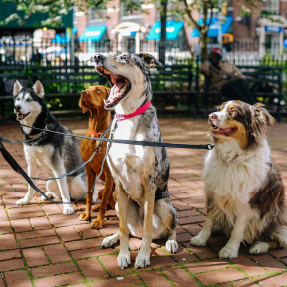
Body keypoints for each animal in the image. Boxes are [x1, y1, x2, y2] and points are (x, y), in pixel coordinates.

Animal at [13, 80, 95, 215]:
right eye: (18, 99)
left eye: (29, 100)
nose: (17, 107)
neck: (39, 131)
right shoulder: (32, 164)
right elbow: (31, 185)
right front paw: (26, 200)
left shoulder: (58, 165)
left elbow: (63, 189)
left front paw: (67, 207)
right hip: (50, 182)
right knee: (59, 193)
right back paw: (49, 195)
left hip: (77, 181)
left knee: (87, 192)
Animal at [79, 85, 116, 230]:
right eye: (86, 88)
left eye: (98, 90)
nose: (83, 92)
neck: (97, 135)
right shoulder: (89, 170)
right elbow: (89, 196)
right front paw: (87, 214)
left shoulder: (109, 173)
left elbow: (105, 200)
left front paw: (99, 221)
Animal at [94, 53, 179, 270]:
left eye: (124, 57)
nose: (97, 56)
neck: (129, 116)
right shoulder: (118, 183)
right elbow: (123, 228)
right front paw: (124, 255)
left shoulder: (149, 183)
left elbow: (148, 227)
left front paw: (143, 256)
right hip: (118, 203)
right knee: (128, 229)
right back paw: (111, 238)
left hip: (164, 205)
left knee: (171, 228)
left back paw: (171, 242)